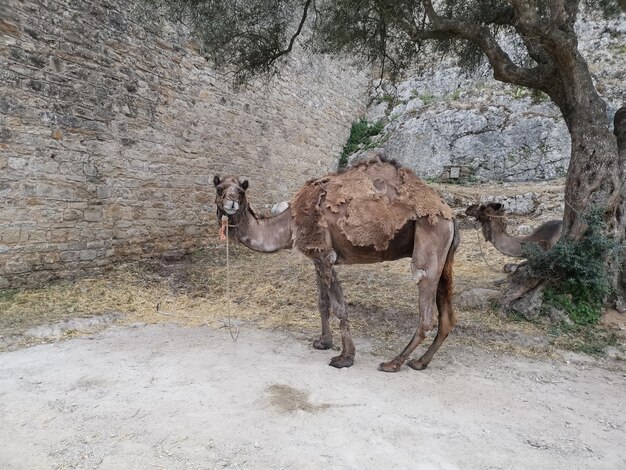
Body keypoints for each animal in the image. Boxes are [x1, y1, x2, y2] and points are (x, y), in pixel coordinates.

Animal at [214, 158, 458, 370]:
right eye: (219, 187)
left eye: (242, 190)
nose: (231, 201)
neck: (288, 224)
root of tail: (449, 214)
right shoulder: (316, 256)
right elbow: (323, 303)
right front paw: (323, 342)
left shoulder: (324, 256)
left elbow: (340, 307)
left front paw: (345, 358)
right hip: (444, 260)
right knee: (446, 317)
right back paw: (420, 362)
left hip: (430, 241)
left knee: (427, 311)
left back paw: (393, 363)